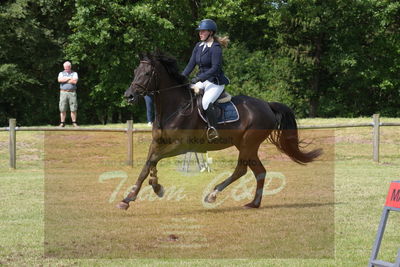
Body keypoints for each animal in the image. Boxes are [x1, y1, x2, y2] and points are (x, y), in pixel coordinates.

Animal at [116, 52, 322, 211]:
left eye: (147, 73)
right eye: (135, 72)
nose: (129, 96)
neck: (174, 107)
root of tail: (267, 105)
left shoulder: (180, 146)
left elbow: (153, 159)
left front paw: (156, 187)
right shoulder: (158, 143)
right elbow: (147, 164)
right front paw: (130, 197)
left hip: (248, 144)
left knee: (241, 170)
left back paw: (213, 195)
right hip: (246, 145)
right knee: (260, 171)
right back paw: (253, 203)